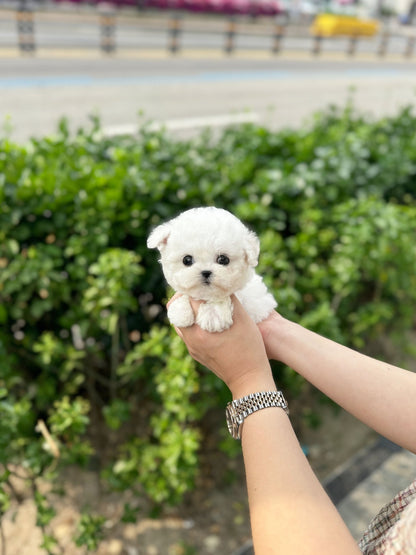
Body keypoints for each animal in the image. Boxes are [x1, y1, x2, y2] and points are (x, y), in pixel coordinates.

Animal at [146, 206, 276, 332]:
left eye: (223, 259)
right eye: (187, 260)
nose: (206, 272)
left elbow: (222, 297)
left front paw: (213, 314)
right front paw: (180, 311)